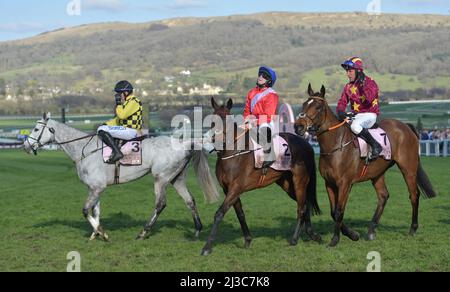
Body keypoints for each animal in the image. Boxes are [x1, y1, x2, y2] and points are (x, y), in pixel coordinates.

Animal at [23, 113, 221, 241]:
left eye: (35, 129)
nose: (25, 146)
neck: (84, 149)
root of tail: (184, 143)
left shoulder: (96, 187)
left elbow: (86, 210)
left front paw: (101, 233)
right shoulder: (95, 188)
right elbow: (96, 211)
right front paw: (96, 233)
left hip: (161, 179)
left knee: (160, 204)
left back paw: (143, 232)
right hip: (176, 179)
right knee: (190, 201)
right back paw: (197, 230)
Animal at [201, 98, 324, 256]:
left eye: (227, 119)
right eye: (212, 120)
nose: (216, 139)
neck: (233, 152)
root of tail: (305, 144)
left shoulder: (236, 188)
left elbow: (219, 213)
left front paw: (207, 247)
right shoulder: (228, 189)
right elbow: (240, 213)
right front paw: (247, 240)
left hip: (299, 181)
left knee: (301, 208)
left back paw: (295, 239)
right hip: (287, 184)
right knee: (304, 204)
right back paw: (312, 234)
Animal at [296, 84, 436, 246]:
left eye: (318, 107)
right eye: (304, 104)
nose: (298, 127)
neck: (336, 145)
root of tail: (405, 126)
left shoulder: (345, 184)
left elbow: (339, 211)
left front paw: (336, 239)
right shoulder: (329, 183)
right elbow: (333, 211)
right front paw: (352, 234)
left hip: (408, 169)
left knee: (414, 195)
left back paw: (413, 228)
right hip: (377, 173)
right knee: (383, 196)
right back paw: (371, 231)